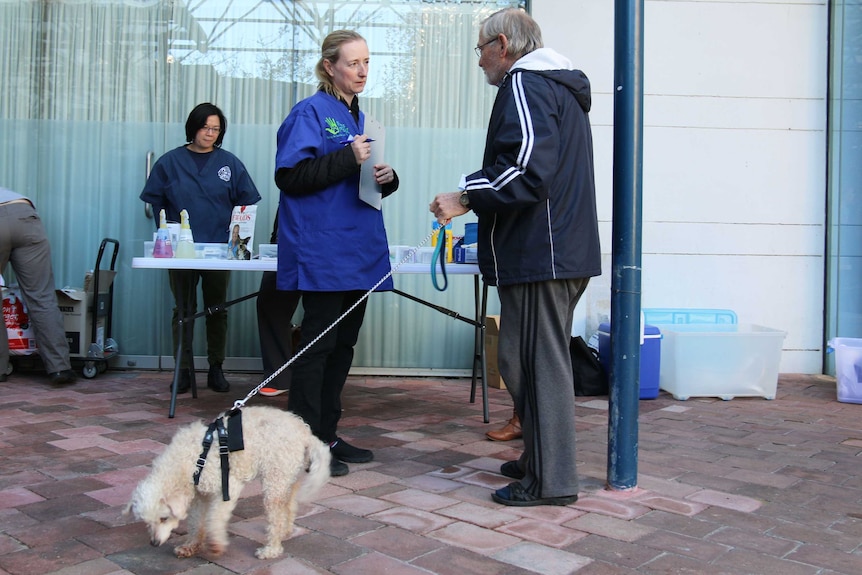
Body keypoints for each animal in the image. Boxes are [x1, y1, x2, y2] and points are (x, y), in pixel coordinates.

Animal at [125, 408, 330, 560]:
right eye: (146, 521)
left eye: (164, 518)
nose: (154, 543)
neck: (192, 460)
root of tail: (305, 433)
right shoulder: (200, 496)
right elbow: (196, 522)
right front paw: (191, 546)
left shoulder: (227, 487)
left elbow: (215, 518)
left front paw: (215, 544)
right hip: (287, 479)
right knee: (289, 507)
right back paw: (284, 532)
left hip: (275, 481)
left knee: (277, 516)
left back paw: (271, 549)